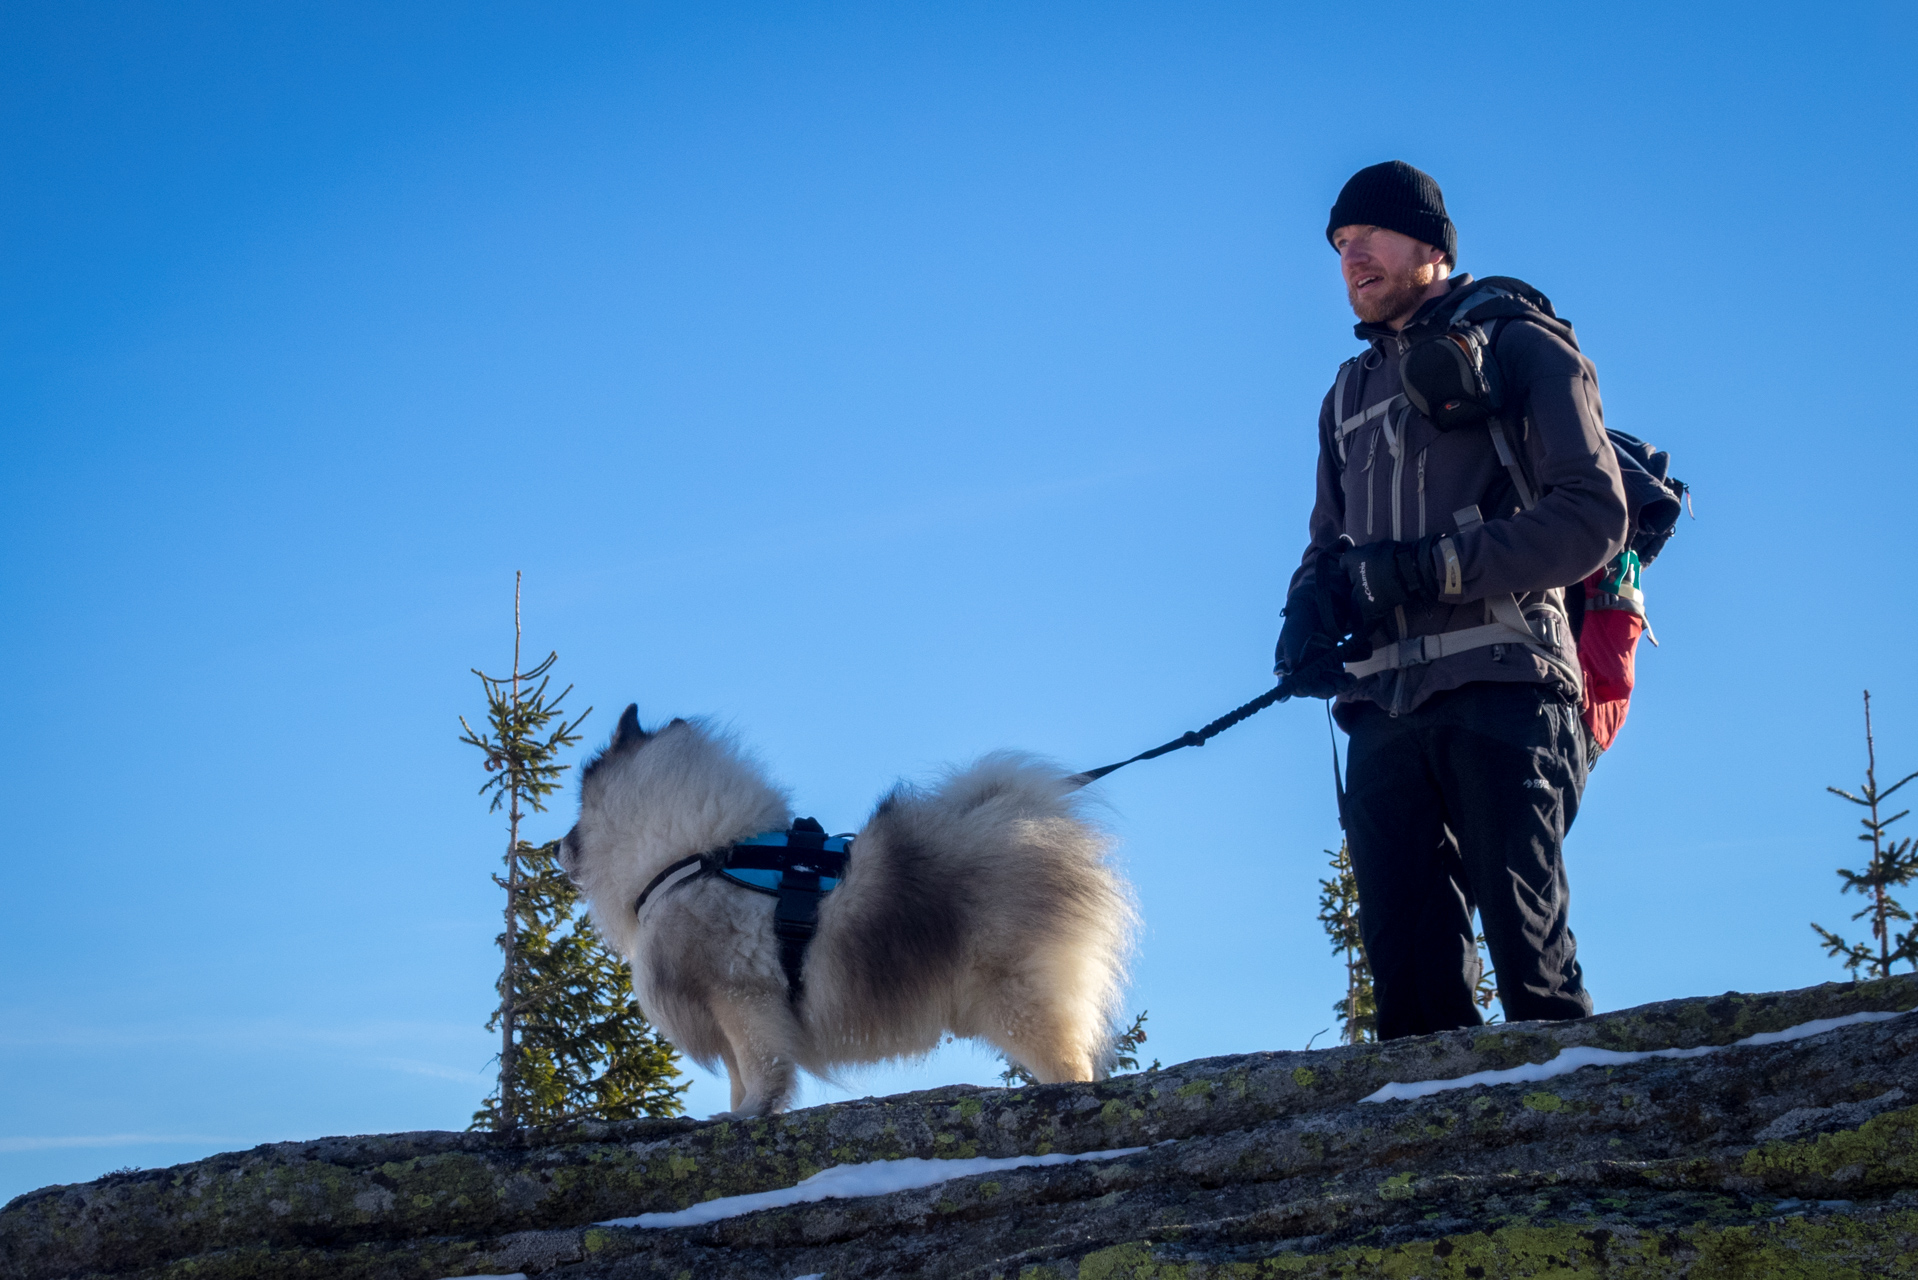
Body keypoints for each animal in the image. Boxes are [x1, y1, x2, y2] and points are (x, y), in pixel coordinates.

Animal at [563, 706, 1135, 1113]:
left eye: (577, 816)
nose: (556, 848)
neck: (697, 856)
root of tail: (1024, 818)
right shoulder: (727, 1013)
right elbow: (740, 1076)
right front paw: (737, 1113)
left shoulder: (742, 998)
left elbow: (761, 1067)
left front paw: (751, 1114)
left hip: (1018, 998)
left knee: (1071, 1062)